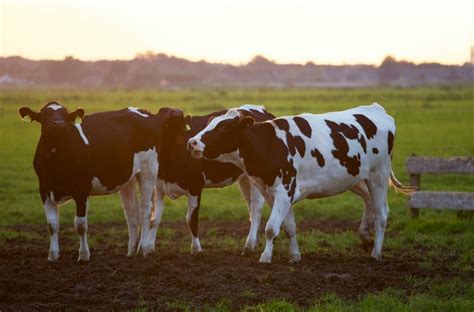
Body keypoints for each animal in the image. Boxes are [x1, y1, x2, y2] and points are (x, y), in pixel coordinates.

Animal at [19, 102, 181, 260]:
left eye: (65, 115)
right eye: (45, 115)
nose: (59, 124)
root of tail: (147, 112)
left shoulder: (81, 190)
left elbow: (80, 224)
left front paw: (84, 255)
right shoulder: (44, 189)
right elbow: (52, 224)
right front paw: (53, 255)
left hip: (148, 170)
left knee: (145, 209)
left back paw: (144, 249)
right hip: (127, 178)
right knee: (131, 212)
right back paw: (131, 251)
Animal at [147, 105, 274, 254]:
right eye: (162, 110)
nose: (177, 112)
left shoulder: (195, 186)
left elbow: (191, 219)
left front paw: (196, 249)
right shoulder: (159, 187)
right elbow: (154, 219)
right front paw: (148, 248)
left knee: (255, 207)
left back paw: (250, 244)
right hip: (245, 179)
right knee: (251, 208)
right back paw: (256, 241)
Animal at [187, 103, 412, 264]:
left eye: (224, 127)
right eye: (209, 123)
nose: (191, 142)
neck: (270, 145)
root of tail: (376, 109)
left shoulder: (284, 191)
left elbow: (271, 228)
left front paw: (265, 257)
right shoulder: (274, 193)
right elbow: (289, 227)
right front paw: (294, 256)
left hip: (378, 175)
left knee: (382, 214)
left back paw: (376, 252)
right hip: (355, 178)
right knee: (371, 203)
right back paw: (365, 237)